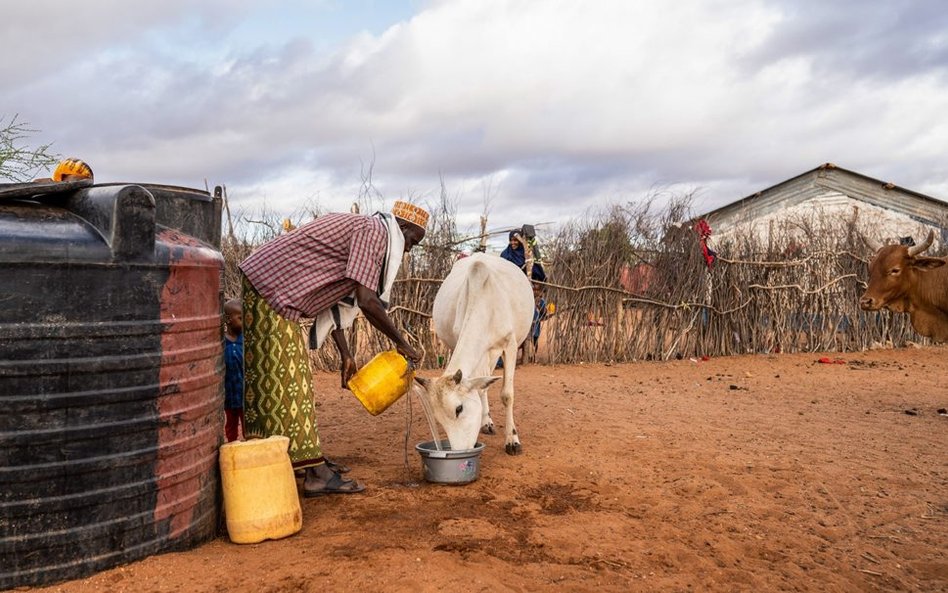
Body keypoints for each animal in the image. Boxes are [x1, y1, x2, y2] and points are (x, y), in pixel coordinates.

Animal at [414, 252, 532, 450]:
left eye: (459, 409)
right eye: (438, 419)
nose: (459, 451)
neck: (486, 304)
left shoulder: (510, 345)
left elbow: (507, 395)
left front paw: (512, 439)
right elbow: (481, 388)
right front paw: (487, 421)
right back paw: (487, 422)